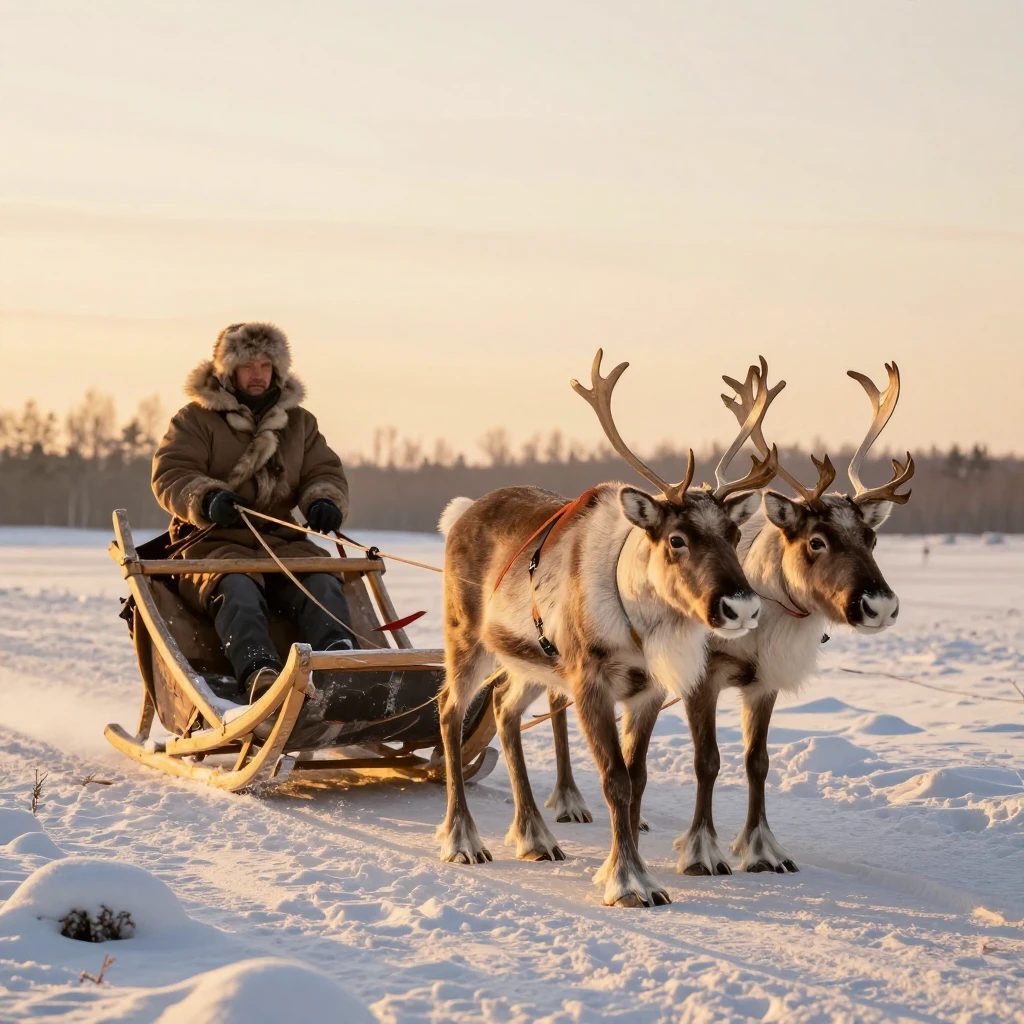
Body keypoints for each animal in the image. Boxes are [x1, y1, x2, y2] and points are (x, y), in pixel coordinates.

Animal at [434, 350, 778, 908]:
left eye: (732, 533)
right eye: (677, 538)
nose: (741, 607)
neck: (640, 621)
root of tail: (460, 514)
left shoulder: (646, 691)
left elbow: (637, 778)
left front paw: (629, 866)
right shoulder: (589, 682)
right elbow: (614, 779)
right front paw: (628, 881)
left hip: (531, 664)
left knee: (504, 710)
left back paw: (534, 836)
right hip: (466, 642)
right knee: (448, 711)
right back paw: (463, 839)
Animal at [540, 357, 914, 876]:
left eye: (872, 537)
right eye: (816, 541)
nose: (879, 604)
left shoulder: (763, 683)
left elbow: (758, 762)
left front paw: (762, 848)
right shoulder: (704, 678)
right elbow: (708, 761)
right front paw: (702, 848)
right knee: (557, 707)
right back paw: (568, 801)